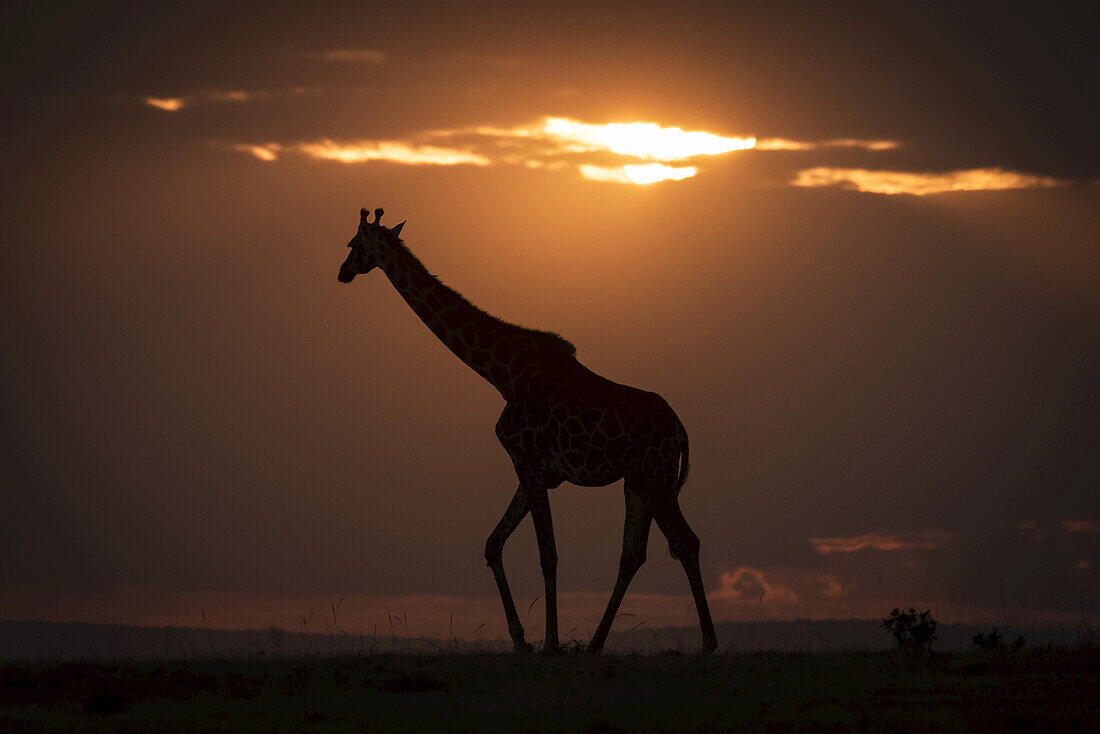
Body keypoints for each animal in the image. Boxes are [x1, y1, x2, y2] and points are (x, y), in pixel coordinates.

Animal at [338, 206, 717, 655]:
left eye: (353, 244)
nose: (342, 272)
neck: (501, 373)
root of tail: (681, 431)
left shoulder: (529, 461)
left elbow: (547, 554)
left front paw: (550, 642)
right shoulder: (534, 470)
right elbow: (493, 543)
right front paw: (522, 640)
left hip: (655, 476)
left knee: (684, 542)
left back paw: (707, 642)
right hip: (638, 482)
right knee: (634, 553)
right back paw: (595, 643)